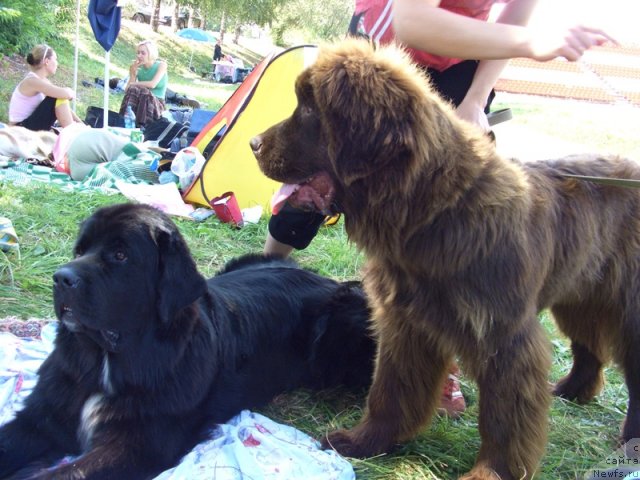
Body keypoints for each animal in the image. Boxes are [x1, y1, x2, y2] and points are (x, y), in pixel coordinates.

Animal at [0, 203, 376, 480]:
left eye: (120, 256)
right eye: (80, 249)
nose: (60, 278)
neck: (108, 361)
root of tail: (326, 281)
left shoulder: (137, 444)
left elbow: (64, 473)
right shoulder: (41, 416)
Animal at [251, 39, 640, 478]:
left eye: (309, 108)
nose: (253, 144)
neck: (436, 212)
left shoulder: (503, 338)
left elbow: (504, 420)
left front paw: (491, 472)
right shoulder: (405, 323)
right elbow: (391, 390)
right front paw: (366, 441)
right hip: (580, 291)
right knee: (589, 341)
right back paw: (573, 391)